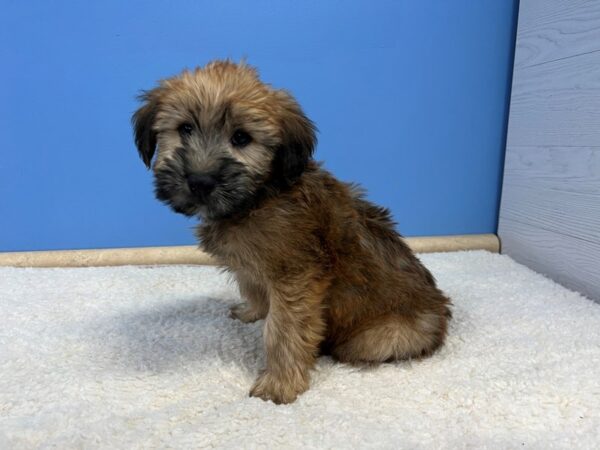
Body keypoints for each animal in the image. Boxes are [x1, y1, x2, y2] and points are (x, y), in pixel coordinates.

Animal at [131, 60, 450, 404]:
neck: (259, 196)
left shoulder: (296, 277)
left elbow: (283, 331)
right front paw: (252, 311)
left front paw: (279, 384)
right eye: (185, 129)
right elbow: (253, 289)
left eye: (241, 138)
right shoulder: (255, 268)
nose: (200, 181)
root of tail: (441, 311)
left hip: (385, 336)